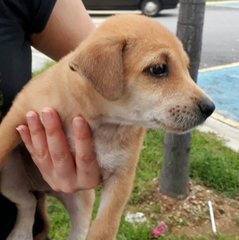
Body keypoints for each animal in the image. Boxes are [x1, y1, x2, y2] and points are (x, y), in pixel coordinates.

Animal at [0, 15, 215, 240]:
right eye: (158, 69)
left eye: (186, 67)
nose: (210, 108)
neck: (102, 122)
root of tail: (44, 189)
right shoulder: (16, 117)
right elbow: (1, 146)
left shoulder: (121, 176)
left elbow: (105, 226)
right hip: (9, 179)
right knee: (27, 203)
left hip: (80, 201)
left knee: (40, 208)